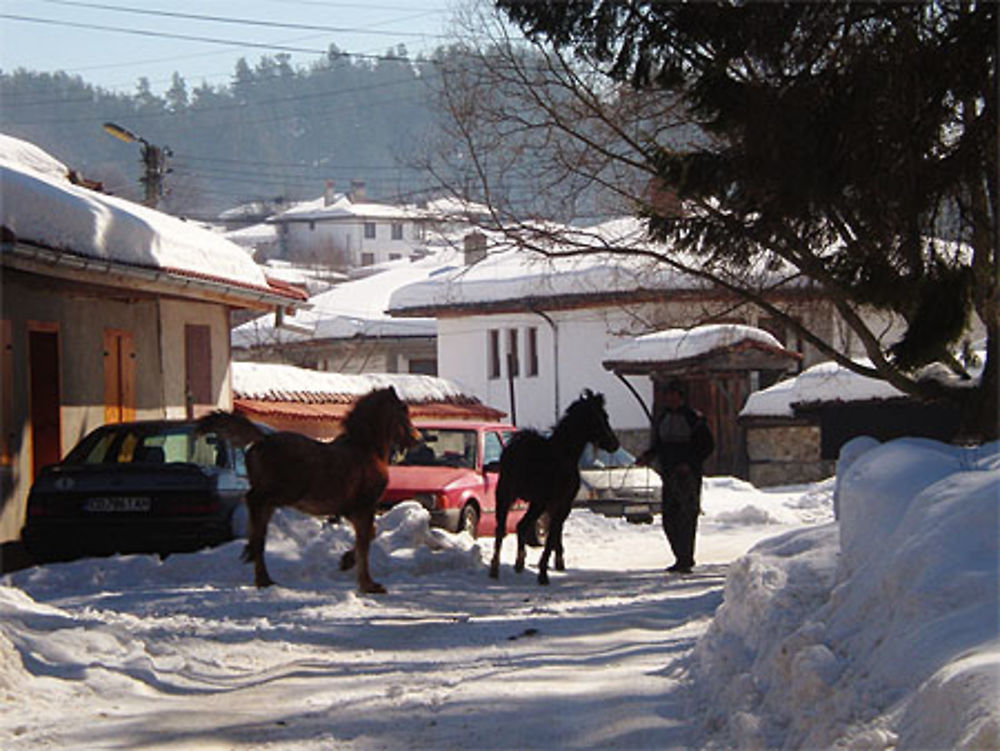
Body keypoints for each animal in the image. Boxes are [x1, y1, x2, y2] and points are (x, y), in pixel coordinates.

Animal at [195, 388, 418, 592]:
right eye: (403, 411)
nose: (417, 438)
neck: (366, 450)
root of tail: (263, 439)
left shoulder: (351, 509)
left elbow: (370, 534)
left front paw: (347, 561)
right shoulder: (364, 506)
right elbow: (365, 541)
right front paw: (368, 584)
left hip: (274, 500)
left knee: (260, 530)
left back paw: (263, 578)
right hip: (282, 493)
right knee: (254, 503)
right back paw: (259, 571)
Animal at [486, 390, 616, 592]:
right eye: (601, 417)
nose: (614, 443)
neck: (565, 453)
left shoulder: (553, 505)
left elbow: (554, 532)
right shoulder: (562, 503)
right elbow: (553, 533)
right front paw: (547, 569)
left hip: (505, 495)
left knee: (503, 529)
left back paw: (500, 567)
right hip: (536, 501)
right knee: (521, 526)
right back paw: (528, 567)